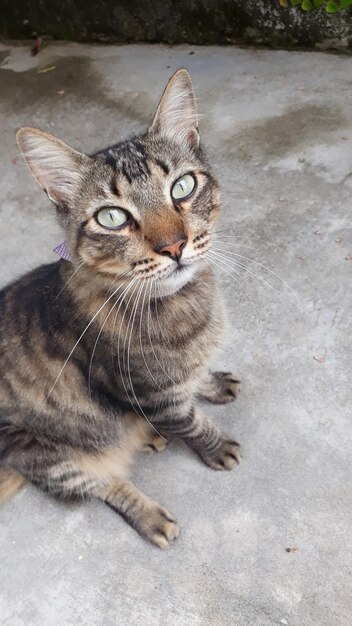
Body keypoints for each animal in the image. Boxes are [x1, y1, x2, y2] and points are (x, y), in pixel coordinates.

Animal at [0, 69, 241, 544]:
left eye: (183, 187)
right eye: (112, 217)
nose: (174, 246)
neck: (184, 305)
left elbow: (196, 378)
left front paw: (211, 381)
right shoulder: (152, 393)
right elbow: (191, 422)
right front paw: (217, 445)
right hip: (49, 455)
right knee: (104, 484)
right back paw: (151, 516)